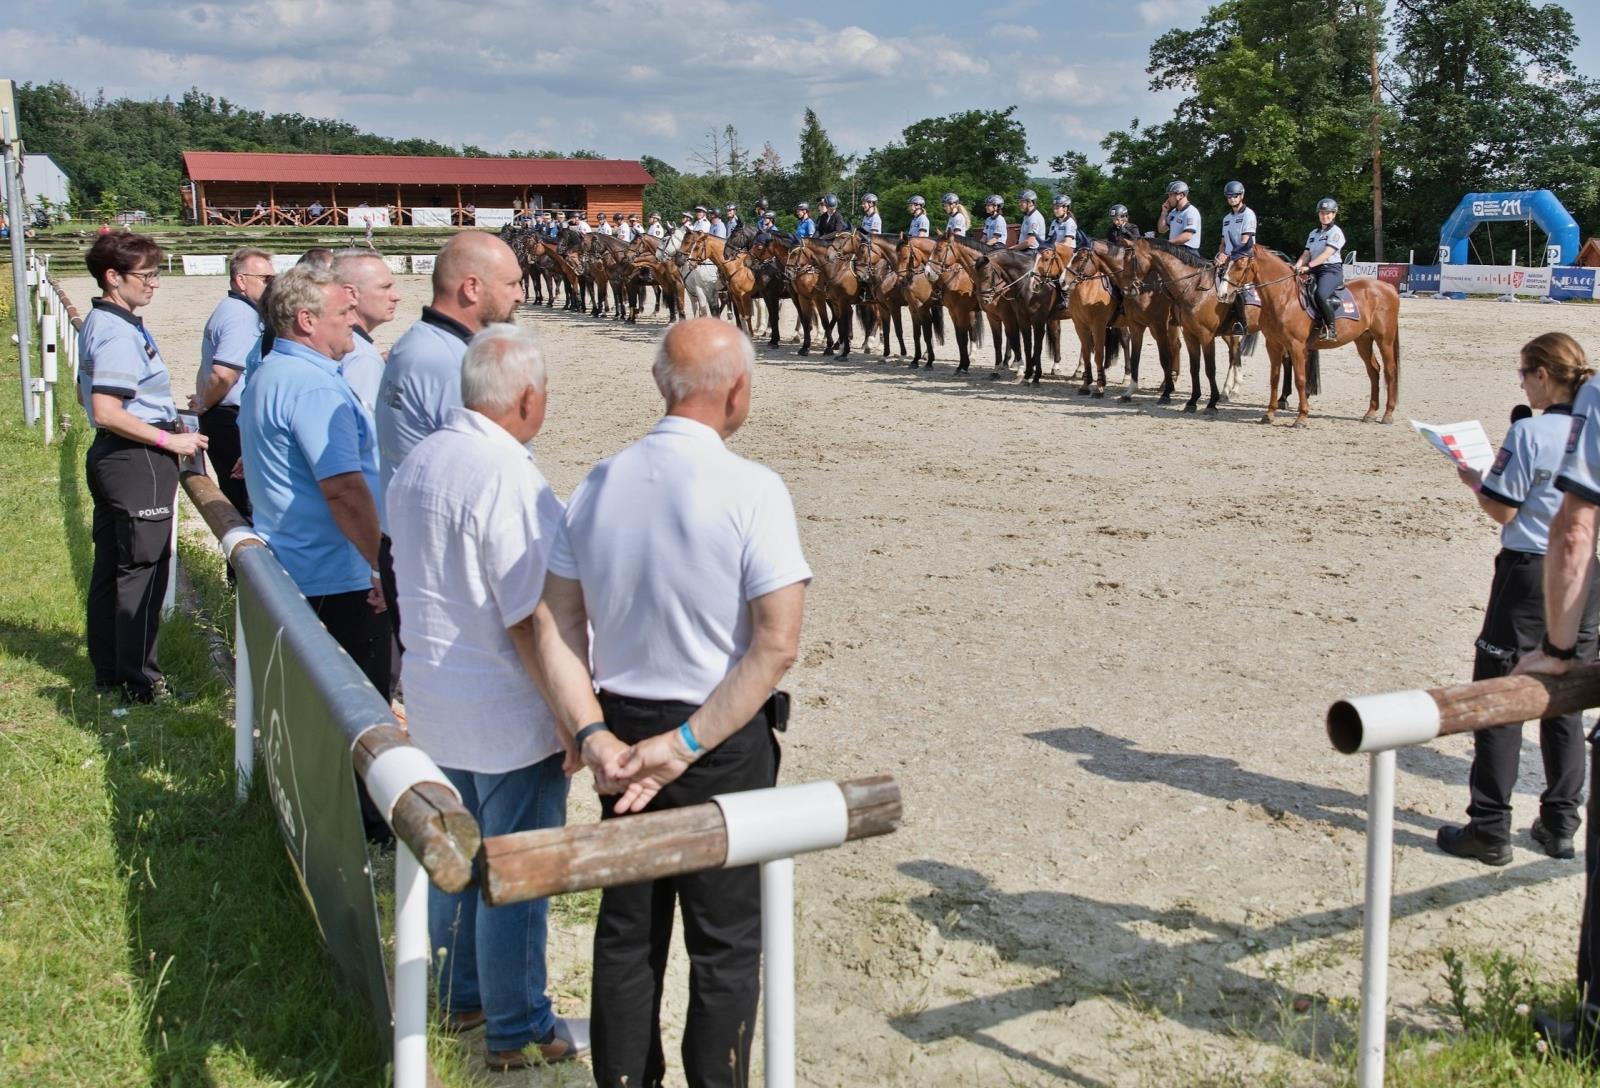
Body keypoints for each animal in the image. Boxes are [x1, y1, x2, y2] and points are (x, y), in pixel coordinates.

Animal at [1219, 247, 1401, 426]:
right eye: (1227, 264)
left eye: (1240, 266)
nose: (1222, 294)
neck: (1285, 297)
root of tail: (1388, 287)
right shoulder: (1273, 344)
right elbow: (1274, 378)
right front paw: (1269, 414)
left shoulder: (1296, 345)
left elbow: (1300, 379)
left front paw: (1302, 417)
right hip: (1363, 340)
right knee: (1374, 370)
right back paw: (1370, 413)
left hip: (1385, 340)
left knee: (1390, 371)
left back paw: (1388, 414)